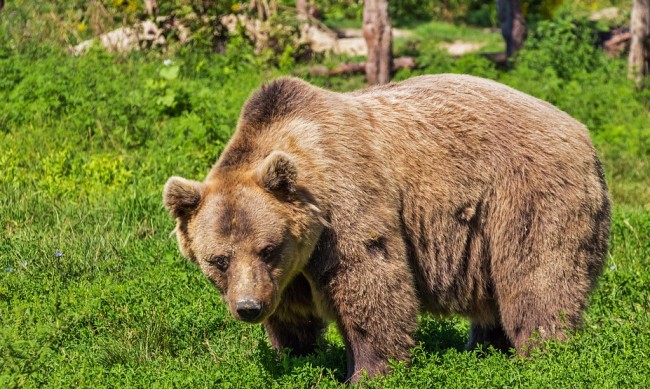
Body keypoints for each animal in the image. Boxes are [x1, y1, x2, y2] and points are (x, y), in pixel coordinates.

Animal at [161, 73, 608, 382]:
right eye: (218, 259)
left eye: (268, 248)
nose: (248, 307)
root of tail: (582, 131)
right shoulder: (289, 272)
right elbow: (292, 315)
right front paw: (296, 355)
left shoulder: (346, 206)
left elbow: (370, 282)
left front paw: (367, 371)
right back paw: (484, 349)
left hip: (526, 196)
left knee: (537, 278)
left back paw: (543, 353)